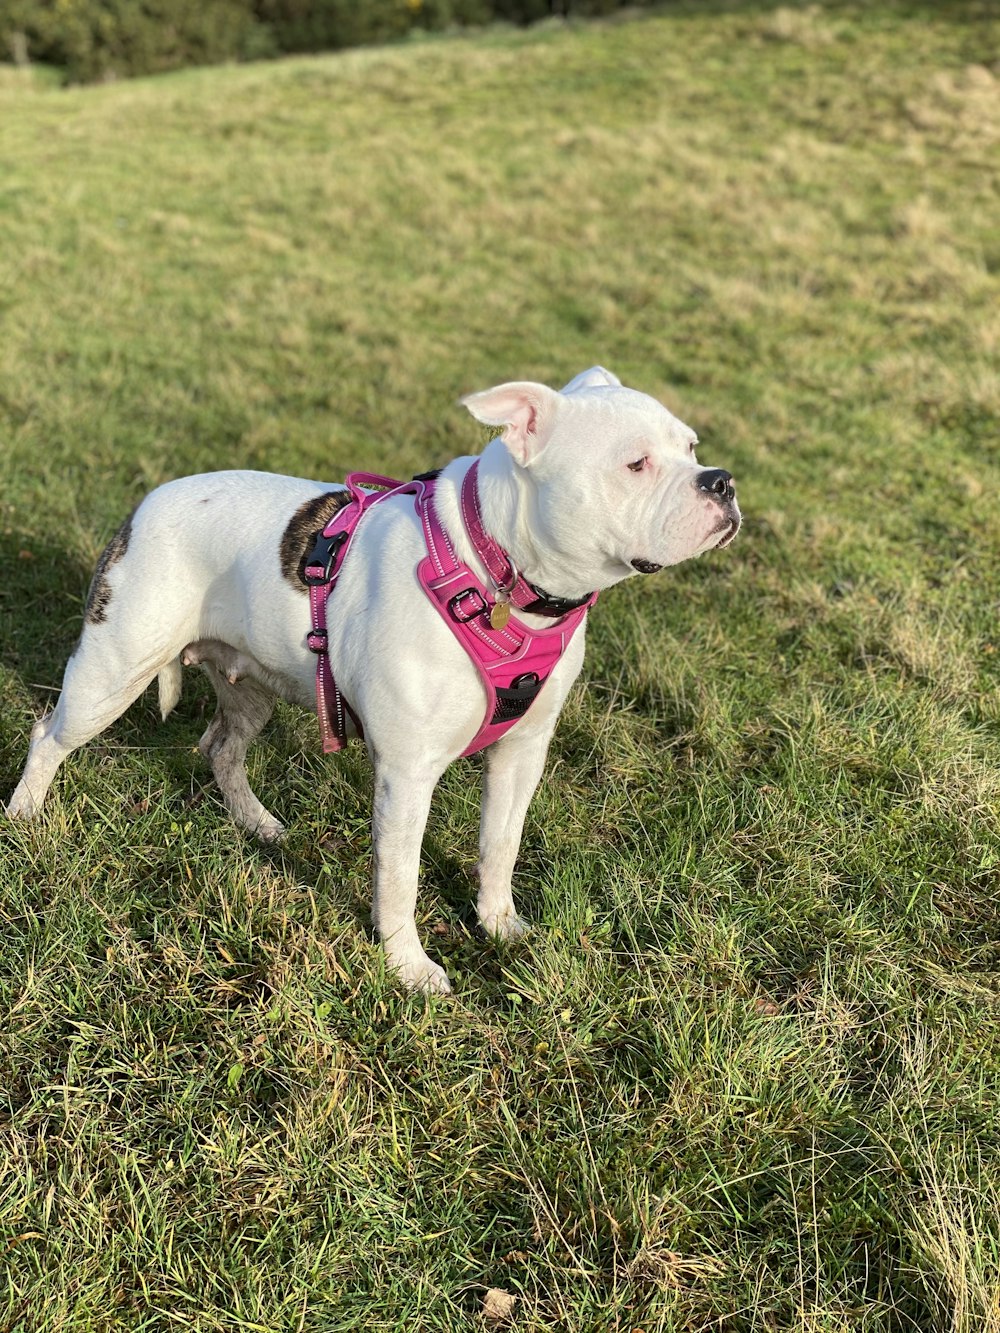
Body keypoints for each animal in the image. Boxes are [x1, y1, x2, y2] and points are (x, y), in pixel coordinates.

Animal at [3, 365, 741, 991]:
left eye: (692, 447)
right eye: (636, 464)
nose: (722, 481)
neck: (497, 568)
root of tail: (145, 504)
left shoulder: (521, 752)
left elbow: (500, 843)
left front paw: (498, 924)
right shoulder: (407, 774)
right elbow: (400, 878)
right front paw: (408, 968)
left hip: (249, 687)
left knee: (220, 747)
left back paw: (258, 824)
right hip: (111, 672)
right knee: (50, 734)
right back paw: (25, 816)